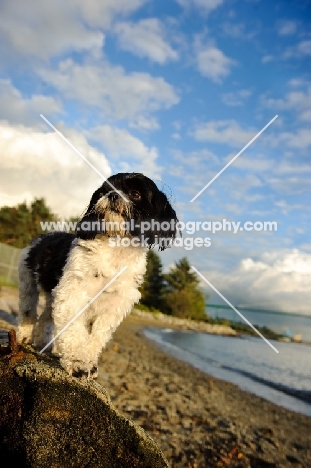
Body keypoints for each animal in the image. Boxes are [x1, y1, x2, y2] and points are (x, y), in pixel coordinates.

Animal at [17, 174, 178, 378]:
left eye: (135, 193)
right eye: (104, 191)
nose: (113, 194)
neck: (116, 247)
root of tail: (41, 238)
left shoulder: (113, 307)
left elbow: (97, 337)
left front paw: (90, 363)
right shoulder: (73, 293)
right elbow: (74, 329)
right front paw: (78, 362)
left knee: (47, 316)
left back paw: (43, 343)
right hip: (27, 281)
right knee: (28, 310)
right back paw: (24, 336)